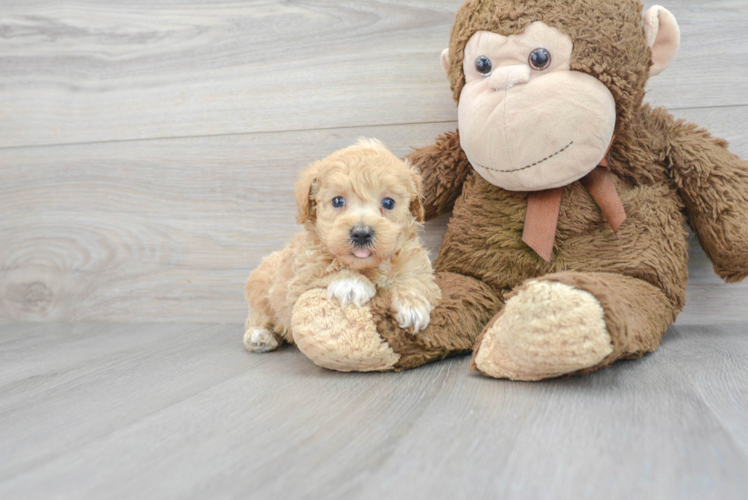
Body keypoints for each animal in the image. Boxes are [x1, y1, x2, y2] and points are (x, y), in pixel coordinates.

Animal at [243, 139, 442, 354]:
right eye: (338, 201)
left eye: (388, 202)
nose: (361, 233)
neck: (368, 266)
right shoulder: (300, 277)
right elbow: (325, 269)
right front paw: (352, 283)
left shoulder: (417, 266)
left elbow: (414, 281)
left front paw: (412, 306)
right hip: (260, 289)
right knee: (259, 316)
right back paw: (260, 335)